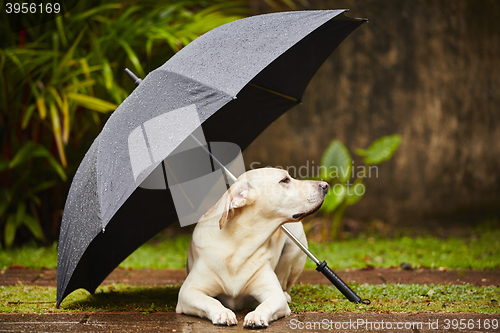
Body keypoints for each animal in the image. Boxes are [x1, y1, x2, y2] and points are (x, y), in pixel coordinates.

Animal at [176, 167, 328, 328]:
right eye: (285, 180)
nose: (326, 185)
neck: (239, 244)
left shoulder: (274, 293)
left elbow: (267, 304)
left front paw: (257, 315)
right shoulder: (188, 292)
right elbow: (211, 300)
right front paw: (223, 312)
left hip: (294, 251)